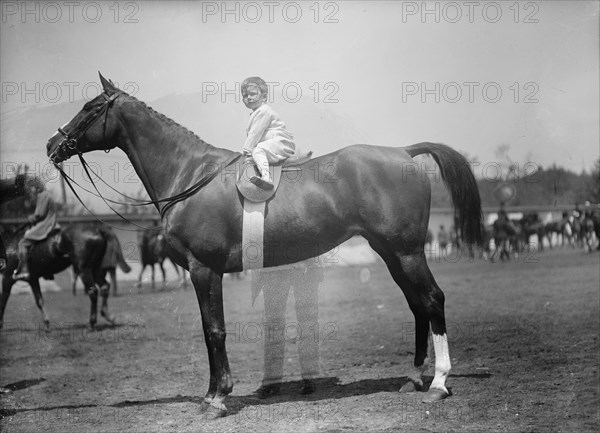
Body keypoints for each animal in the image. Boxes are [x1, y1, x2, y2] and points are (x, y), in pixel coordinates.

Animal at [49, 76, 486, 416]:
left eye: (90, 108)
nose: (53, 144)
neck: (190, 175)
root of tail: (404, 153)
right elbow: (210, 330)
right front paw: (214, 393)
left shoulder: (204, 270)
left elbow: (214, 330)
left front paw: (217, 398)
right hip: (391, 253)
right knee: (416, 305)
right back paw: (414, 378)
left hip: (407, 252)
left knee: (432, 299)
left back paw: (438, 383)